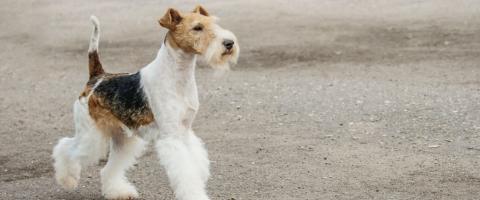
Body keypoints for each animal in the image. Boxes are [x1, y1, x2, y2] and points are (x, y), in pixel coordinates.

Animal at [52, 5, 238, 199]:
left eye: (214, 24)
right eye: (197, 28)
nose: (229, 44)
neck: (178, 77)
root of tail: (97, 78)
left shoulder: (185, 131)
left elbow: (195, 163)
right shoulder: (171, 136)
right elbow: (185, 172)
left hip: (123, 138)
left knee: (108, 169)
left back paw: (119, 191)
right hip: (91, 134)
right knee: (65, 147)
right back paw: (67, 179)